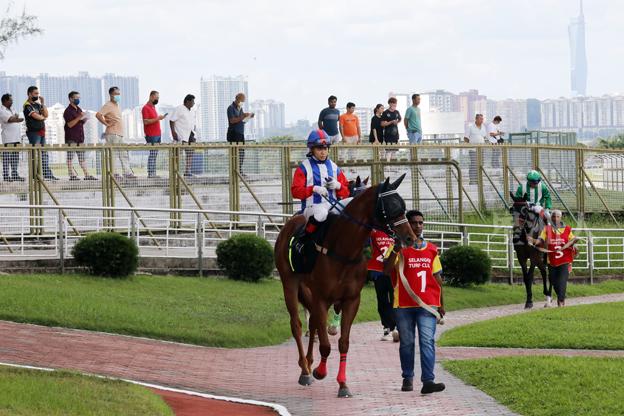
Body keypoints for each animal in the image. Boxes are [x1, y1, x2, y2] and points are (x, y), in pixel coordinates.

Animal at [274, 174, 414, 398]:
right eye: (391, 207)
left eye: (403, 206)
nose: (410, 237)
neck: (344, 252)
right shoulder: (322, 298)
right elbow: (325, 345)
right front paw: (320, 372)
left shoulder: (351, 300)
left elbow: (343, 343)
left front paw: (343, 384)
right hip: (290, 283)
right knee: (296, 325)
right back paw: (305, 370)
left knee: (312, 323)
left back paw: (308, 362)